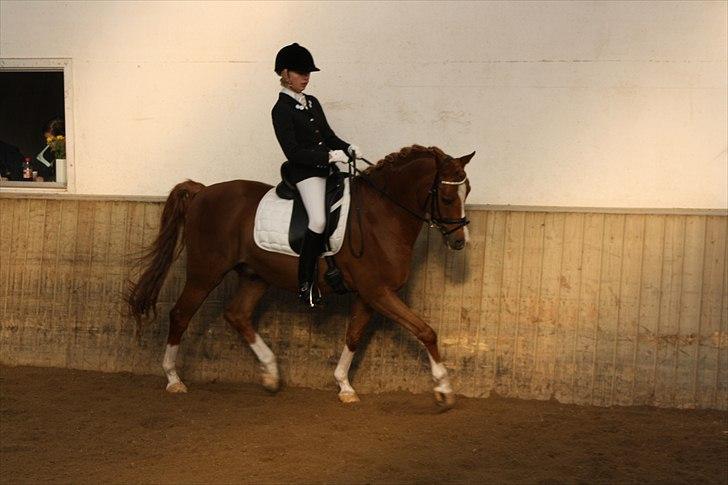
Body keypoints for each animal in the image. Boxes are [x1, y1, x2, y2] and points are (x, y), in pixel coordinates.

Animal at [125, 144, 475, 407]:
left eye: (467, 191)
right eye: (447, 197)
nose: (460, 241)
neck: (381, 216)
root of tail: (202, 192)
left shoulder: (368, 295)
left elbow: (354, 336)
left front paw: (344, 387)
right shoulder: (378, 292)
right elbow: (425, 331)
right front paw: (443, 390)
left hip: (255, 275)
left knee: (237, 314)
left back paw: (271, 373)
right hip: (205, 272)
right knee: (180, 314)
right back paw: (173, 379)